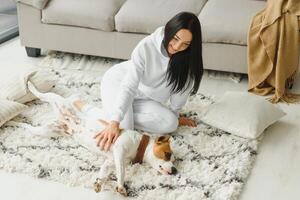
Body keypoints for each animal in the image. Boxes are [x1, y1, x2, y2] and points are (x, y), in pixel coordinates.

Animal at [26, 81, 178, 195]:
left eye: (173, 159)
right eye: (167, 154)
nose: (176, 171)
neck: (139, 144)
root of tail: (62, 118)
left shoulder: (111, 160)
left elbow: (104, 172)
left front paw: (99, 182)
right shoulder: (119, 151)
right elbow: (121, 171)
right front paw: (121, 186)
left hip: (48, 131)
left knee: (32, 128)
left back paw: (23, 124)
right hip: (56, 99)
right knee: (41, 95)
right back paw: (29, 85)